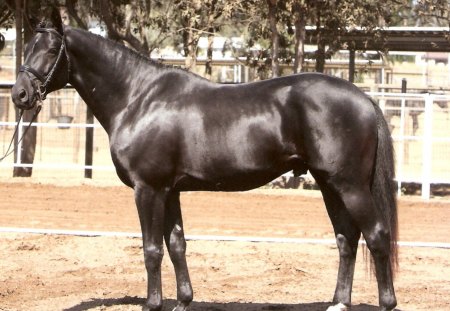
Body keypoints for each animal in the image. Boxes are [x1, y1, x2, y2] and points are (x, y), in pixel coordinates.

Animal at [10, 11, 398, 311]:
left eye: (51, 50)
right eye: (27, 47)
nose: (19, 95)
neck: (138, 98)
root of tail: (364, 98)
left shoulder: (148, 189)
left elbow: (152, 249)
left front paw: (153, 304)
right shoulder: (170, 191)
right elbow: (176, 245)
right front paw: (183, 301)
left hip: (349, 186)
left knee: (376, 235)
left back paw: (386, 302)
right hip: (328, 184)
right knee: (347, 239)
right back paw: (339, 302)